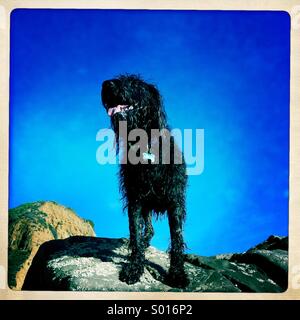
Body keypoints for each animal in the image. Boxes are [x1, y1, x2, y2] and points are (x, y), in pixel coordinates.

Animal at [102, 74, 189, 288]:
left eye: (134, 83)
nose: (106, 84)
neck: (145, 142)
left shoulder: (174, 201)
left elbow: (176, 238)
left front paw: (177, 273)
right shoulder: (135, 199)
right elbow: (135, 233)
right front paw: (135, 267)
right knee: (147, 229)